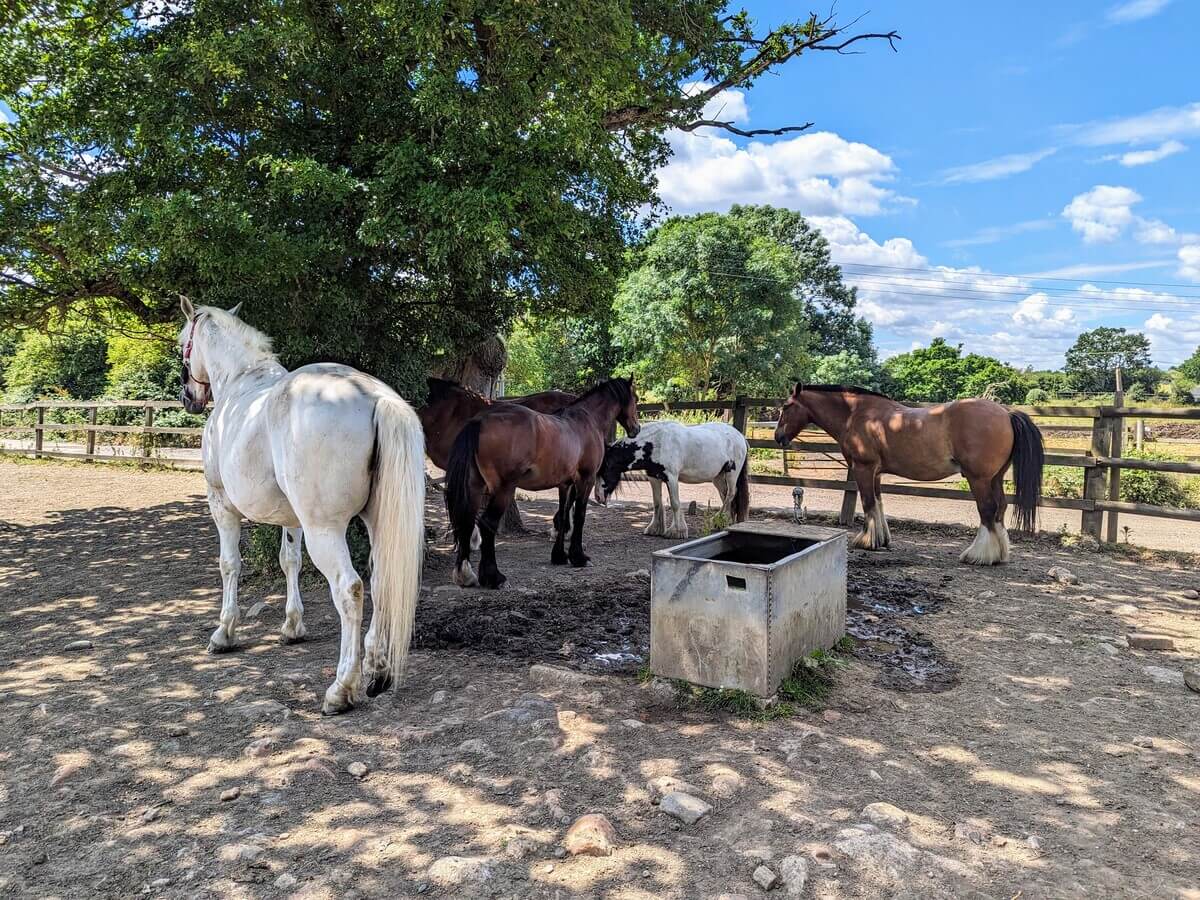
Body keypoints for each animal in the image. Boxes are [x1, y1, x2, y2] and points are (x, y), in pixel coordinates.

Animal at [177, 298, 425, 714]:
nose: (188, 397)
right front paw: (292, 627)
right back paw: (376, 670)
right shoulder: (291, 518)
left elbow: (230, 565)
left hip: (324, 530)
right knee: (380, 581)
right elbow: (289, 561)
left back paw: (341, 689)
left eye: (183, 343)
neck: (241, 381)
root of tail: (374, 396)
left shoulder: (221, 504)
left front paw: (224, 632)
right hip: (374, 524)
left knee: (350, 589)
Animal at [445, 377, 641, 589]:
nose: (636, 429)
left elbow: (563, 516)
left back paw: (465, 575)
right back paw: (494, 577)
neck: (587, 421)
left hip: (474, 487)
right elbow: (579, 516)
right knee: (487, 523)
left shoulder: (565, 484)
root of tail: (479, 421)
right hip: (503, 489)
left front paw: (559, 556)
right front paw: (579, 557)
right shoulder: (585, 480)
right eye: (636, 398)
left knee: (466, 522)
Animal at [593, 420, 750, 539]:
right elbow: (657, 503)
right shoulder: (654, 478)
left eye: (605, 469)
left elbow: (675, 503)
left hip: (731, 473)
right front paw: (654, 529)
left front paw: (677, 531)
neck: (657, 443)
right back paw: (725, 522)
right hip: (717, 477)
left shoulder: (672, 477)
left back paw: (717, 520)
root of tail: (740, 436)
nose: (598, 497)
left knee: (731, 494)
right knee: (725, 496)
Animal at [774, 383, 1043, 565]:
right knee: (1000, 509)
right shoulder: (876, 473)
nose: (778, 437)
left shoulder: (863, 468)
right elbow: (878, 504)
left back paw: (978, 555)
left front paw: (866, 541)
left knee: (987, 510)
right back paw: (999, 554)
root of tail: (1006, 413)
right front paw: (881, 539)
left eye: (786, 407)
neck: (857, 414)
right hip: (995, 478)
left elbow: (868, 503)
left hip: (979, 479)